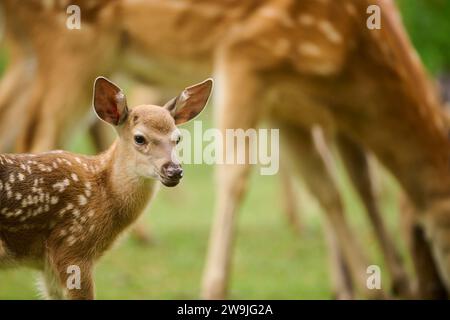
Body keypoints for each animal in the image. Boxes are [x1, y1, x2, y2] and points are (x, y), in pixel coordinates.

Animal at [0, 76, 213, 298]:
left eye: (177, 138)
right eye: (139, 138)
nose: (174, 171)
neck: (102, 192)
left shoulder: (47, 265)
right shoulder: (72, 247)